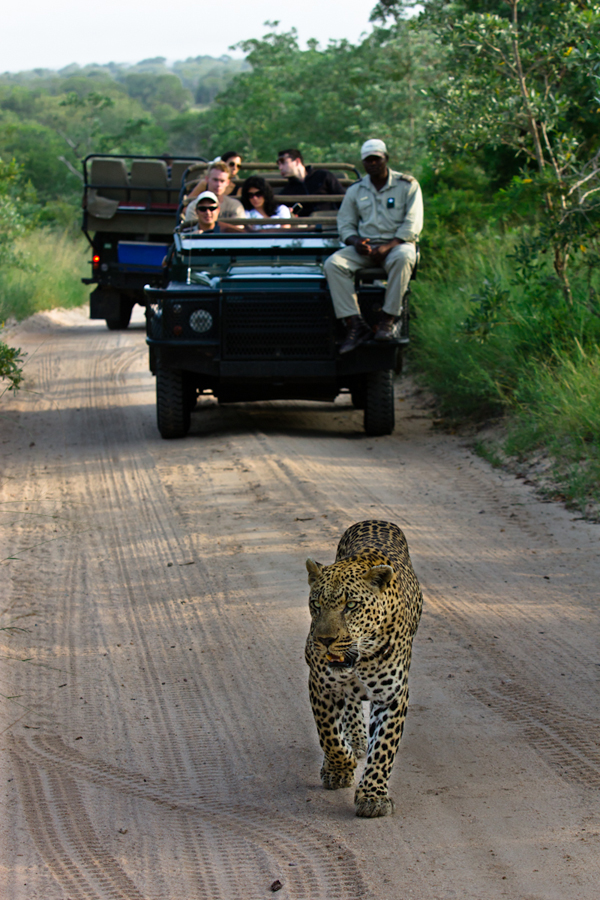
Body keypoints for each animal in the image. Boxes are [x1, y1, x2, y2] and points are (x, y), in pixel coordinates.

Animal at [305, 520, 423, 818]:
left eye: (351, 606)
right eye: (316, 604)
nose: (324, 640)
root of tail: (375, 519)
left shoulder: (393, 696)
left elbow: (383, 748)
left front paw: (373, 797)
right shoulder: (321, 685)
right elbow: (329, 736)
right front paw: (339, 768)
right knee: (349, 704)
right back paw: (355, 740)